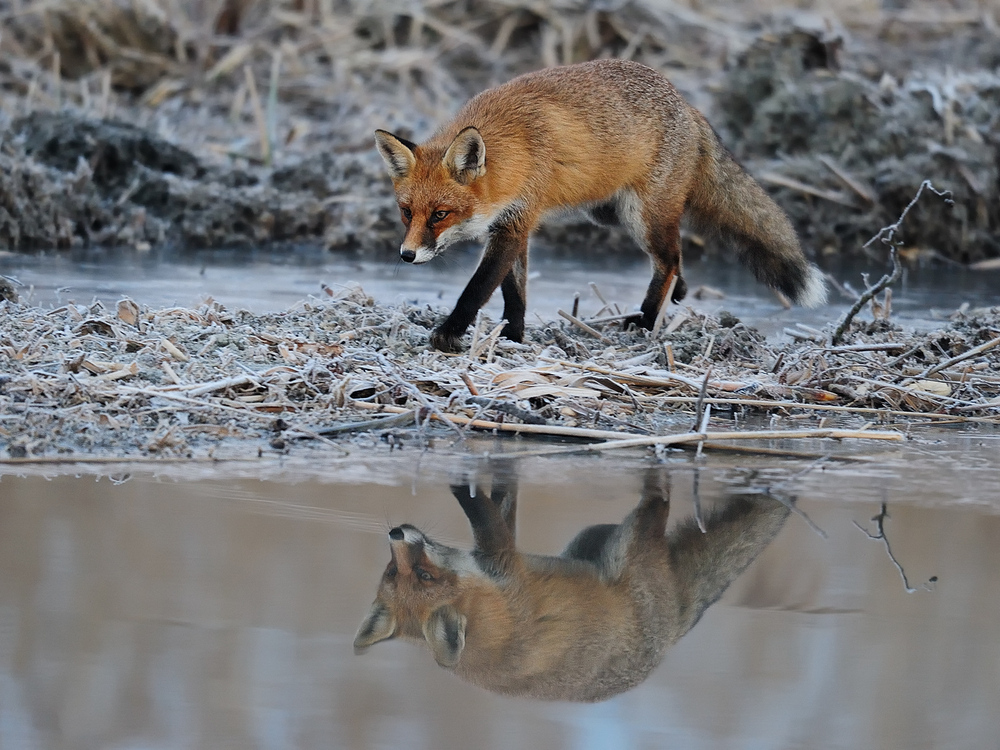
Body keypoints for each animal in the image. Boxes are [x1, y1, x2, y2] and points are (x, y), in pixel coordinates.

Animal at [356, 470, 792, 704]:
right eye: (399, 572)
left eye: (418, 574)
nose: (395, 533)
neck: (485, 618)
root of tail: (667, 640)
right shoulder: (503, 561)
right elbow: (481, 509)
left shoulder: (500, 557)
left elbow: (500, 503)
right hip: (634, 539)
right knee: (660, 500)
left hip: (592, 537)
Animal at [376, 58, 828, 352]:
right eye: (406, 212)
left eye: (440, 215)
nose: (406, 255)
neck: (515, 149)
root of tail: (688, 105)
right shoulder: (513, 225)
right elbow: (514, 291)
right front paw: (514, 336)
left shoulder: (515, 222)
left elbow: (479, 287)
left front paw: (450, 333)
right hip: (607, 213)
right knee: (676, 254)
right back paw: (677, 294)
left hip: (640, 215)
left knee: (669, 257)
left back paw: (646, 321)